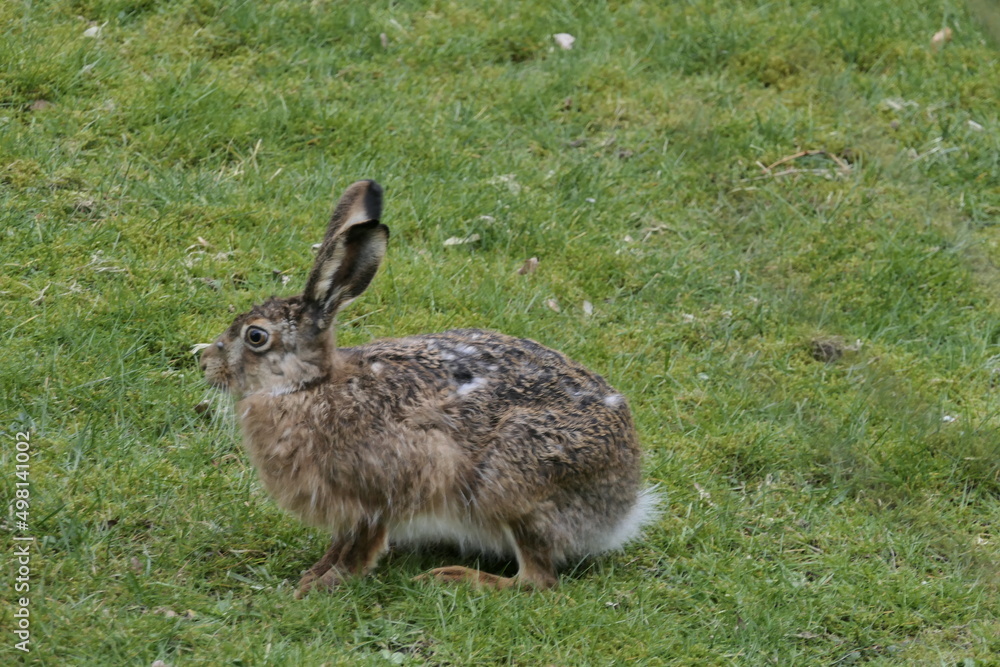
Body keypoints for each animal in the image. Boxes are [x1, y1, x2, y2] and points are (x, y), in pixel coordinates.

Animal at [199, 179, 659, 597]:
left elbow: (361, 546)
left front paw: (323, 585)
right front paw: (314, 573)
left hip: (514, 488)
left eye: (256, 337)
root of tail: (623, 505)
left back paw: (454, 577)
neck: (309, 387)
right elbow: (340, 542)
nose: (205, 363)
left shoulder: (383, 491)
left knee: (537, 580)